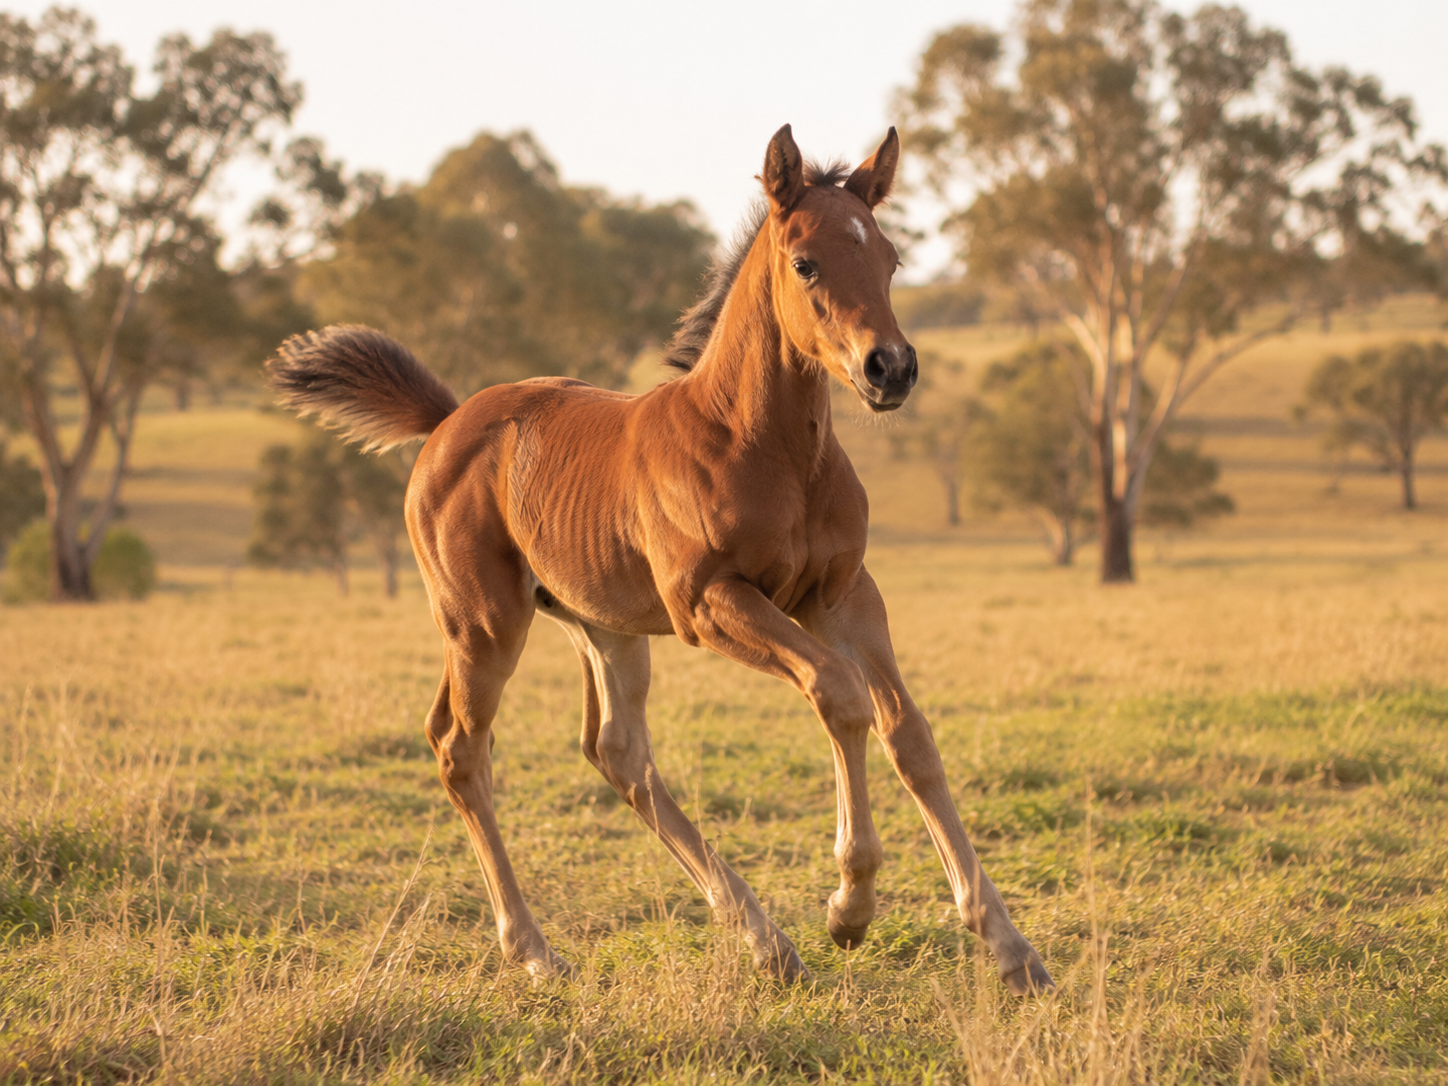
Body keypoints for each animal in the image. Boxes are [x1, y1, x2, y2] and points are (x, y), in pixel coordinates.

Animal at [267, 125, 1054, 996]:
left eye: (890, 258)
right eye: (805, 263)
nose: (892, 368)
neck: (762, 444)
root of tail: (445, 421)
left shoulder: (845, 593)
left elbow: (908, 732)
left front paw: (1010, 946)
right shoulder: (710, 601)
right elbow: (839, 693)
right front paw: (849, 906)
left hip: (601, 624)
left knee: (618, 751)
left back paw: (763, 940)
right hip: (484, 623)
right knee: (460, 746)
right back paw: (535, 949)